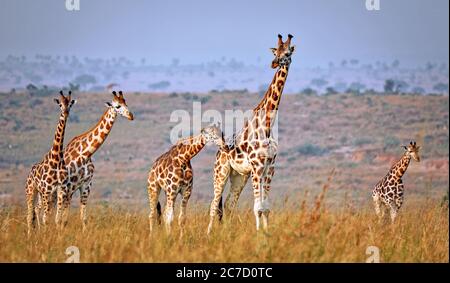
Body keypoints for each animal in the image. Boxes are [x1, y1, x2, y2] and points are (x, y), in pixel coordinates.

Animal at [25, 91, 76, 235]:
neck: (56, 159)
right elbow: (46, 218)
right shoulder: (47, 190)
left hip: (47, 195)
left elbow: (57, 218)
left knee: (37, 211)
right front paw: (45, 236)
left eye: (70, 104)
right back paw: (30, 235)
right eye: (60, 104)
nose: (66, 112)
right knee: (30, 214)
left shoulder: (60, 190)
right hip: (32, 191)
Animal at [54, 91, 134, 231]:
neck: (86, 154)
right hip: (59, 189)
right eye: (117, 106)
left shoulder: (86, 184)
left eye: (126, 103)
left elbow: (83, 218)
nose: (131, 116)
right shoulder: (69, 185)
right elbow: (62, 218)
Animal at [207, 33, 296, 234]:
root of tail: (218, 152)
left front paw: (266, 232)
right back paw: (207, 234)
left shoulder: (269, 166)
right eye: (276, 52)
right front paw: (258, 234)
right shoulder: (256, 166)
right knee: (214, 205)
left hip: (239, 176)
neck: (268, 124)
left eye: (287, 52)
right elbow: (258, 207)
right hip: (221, 172)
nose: (274, 63)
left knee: (229, 205)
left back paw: (227, 232)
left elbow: (266, 207)